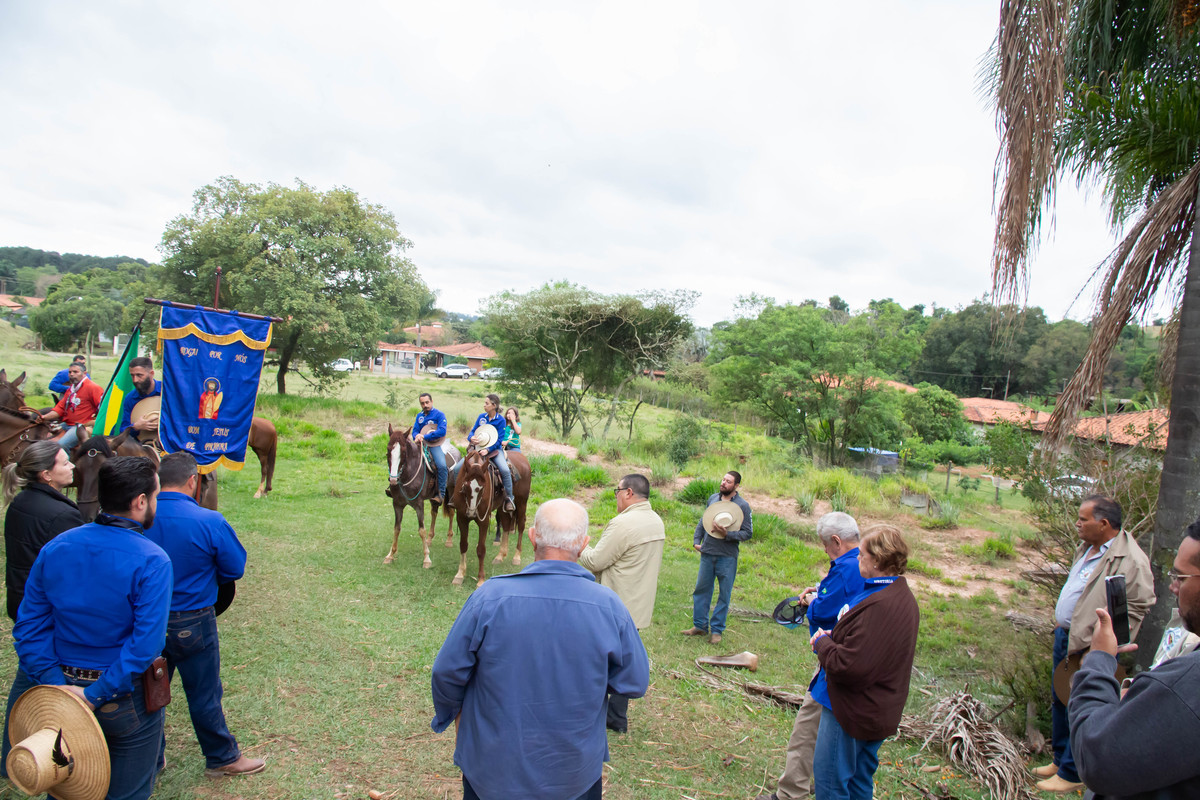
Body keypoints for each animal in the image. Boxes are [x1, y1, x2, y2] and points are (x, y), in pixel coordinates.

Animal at [383, 424, 460, 568]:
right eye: (388, 449)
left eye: (403, 452)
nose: (393, 480)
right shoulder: (397, 504)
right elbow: (396, 529)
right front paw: (390, 555)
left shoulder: (419, 504)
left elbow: (421, 530)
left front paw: (426, 559)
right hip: (433, 497)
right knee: (434, 512)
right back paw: (430, 539)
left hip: (451, 491)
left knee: (452, 512)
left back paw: (449, 540)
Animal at [447, 447, 531, 587]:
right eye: (465, 485)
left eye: (482, 487)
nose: (472, 512)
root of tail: (523, 459)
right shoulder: (462, 518)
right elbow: (463, 545)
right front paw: (460, 574)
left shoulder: (484, 520)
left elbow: (481, 549)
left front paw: (480, 578)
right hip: (502, 506)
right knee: (506, 524)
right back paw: (500, 556)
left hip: (522, 502)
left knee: (521, 525)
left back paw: (516, 557)